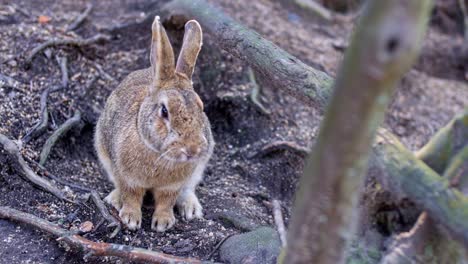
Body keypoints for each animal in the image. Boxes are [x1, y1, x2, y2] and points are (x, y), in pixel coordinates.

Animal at [94, 16, 215, 231]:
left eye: (201, 106)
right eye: (164, 111)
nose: (192, 150)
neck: (158, 153)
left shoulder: (172, 186)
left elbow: (166, 201)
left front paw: (163, 222)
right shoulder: (128, 178)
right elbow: (131, 196)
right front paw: (130, 219)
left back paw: (191, 208)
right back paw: (114, 200)